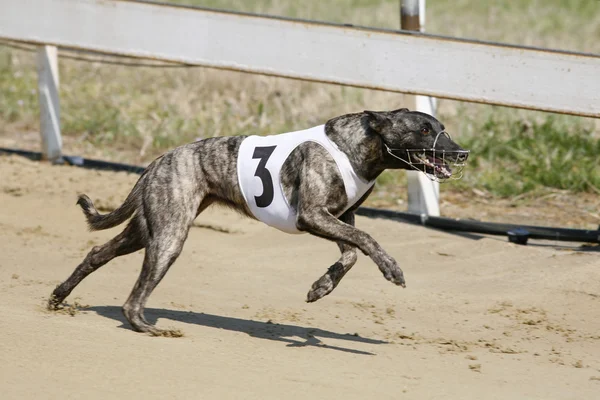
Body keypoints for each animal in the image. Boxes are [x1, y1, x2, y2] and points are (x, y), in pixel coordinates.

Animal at [48, 108, 468, 336]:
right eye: (424, 129)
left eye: (442, 128)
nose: (462, 152)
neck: (358, 147)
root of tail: (158, 160)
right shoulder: (313, 216)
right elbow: (366, 239)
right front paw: (391, 268)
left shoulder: (338, 216)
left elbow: (351, 252)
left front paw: (321, 287)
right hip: (169, 236)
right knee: (133, 298)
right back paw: (148, 326)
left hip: (149, 228)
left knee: (97, 251)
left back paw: (59, 296)